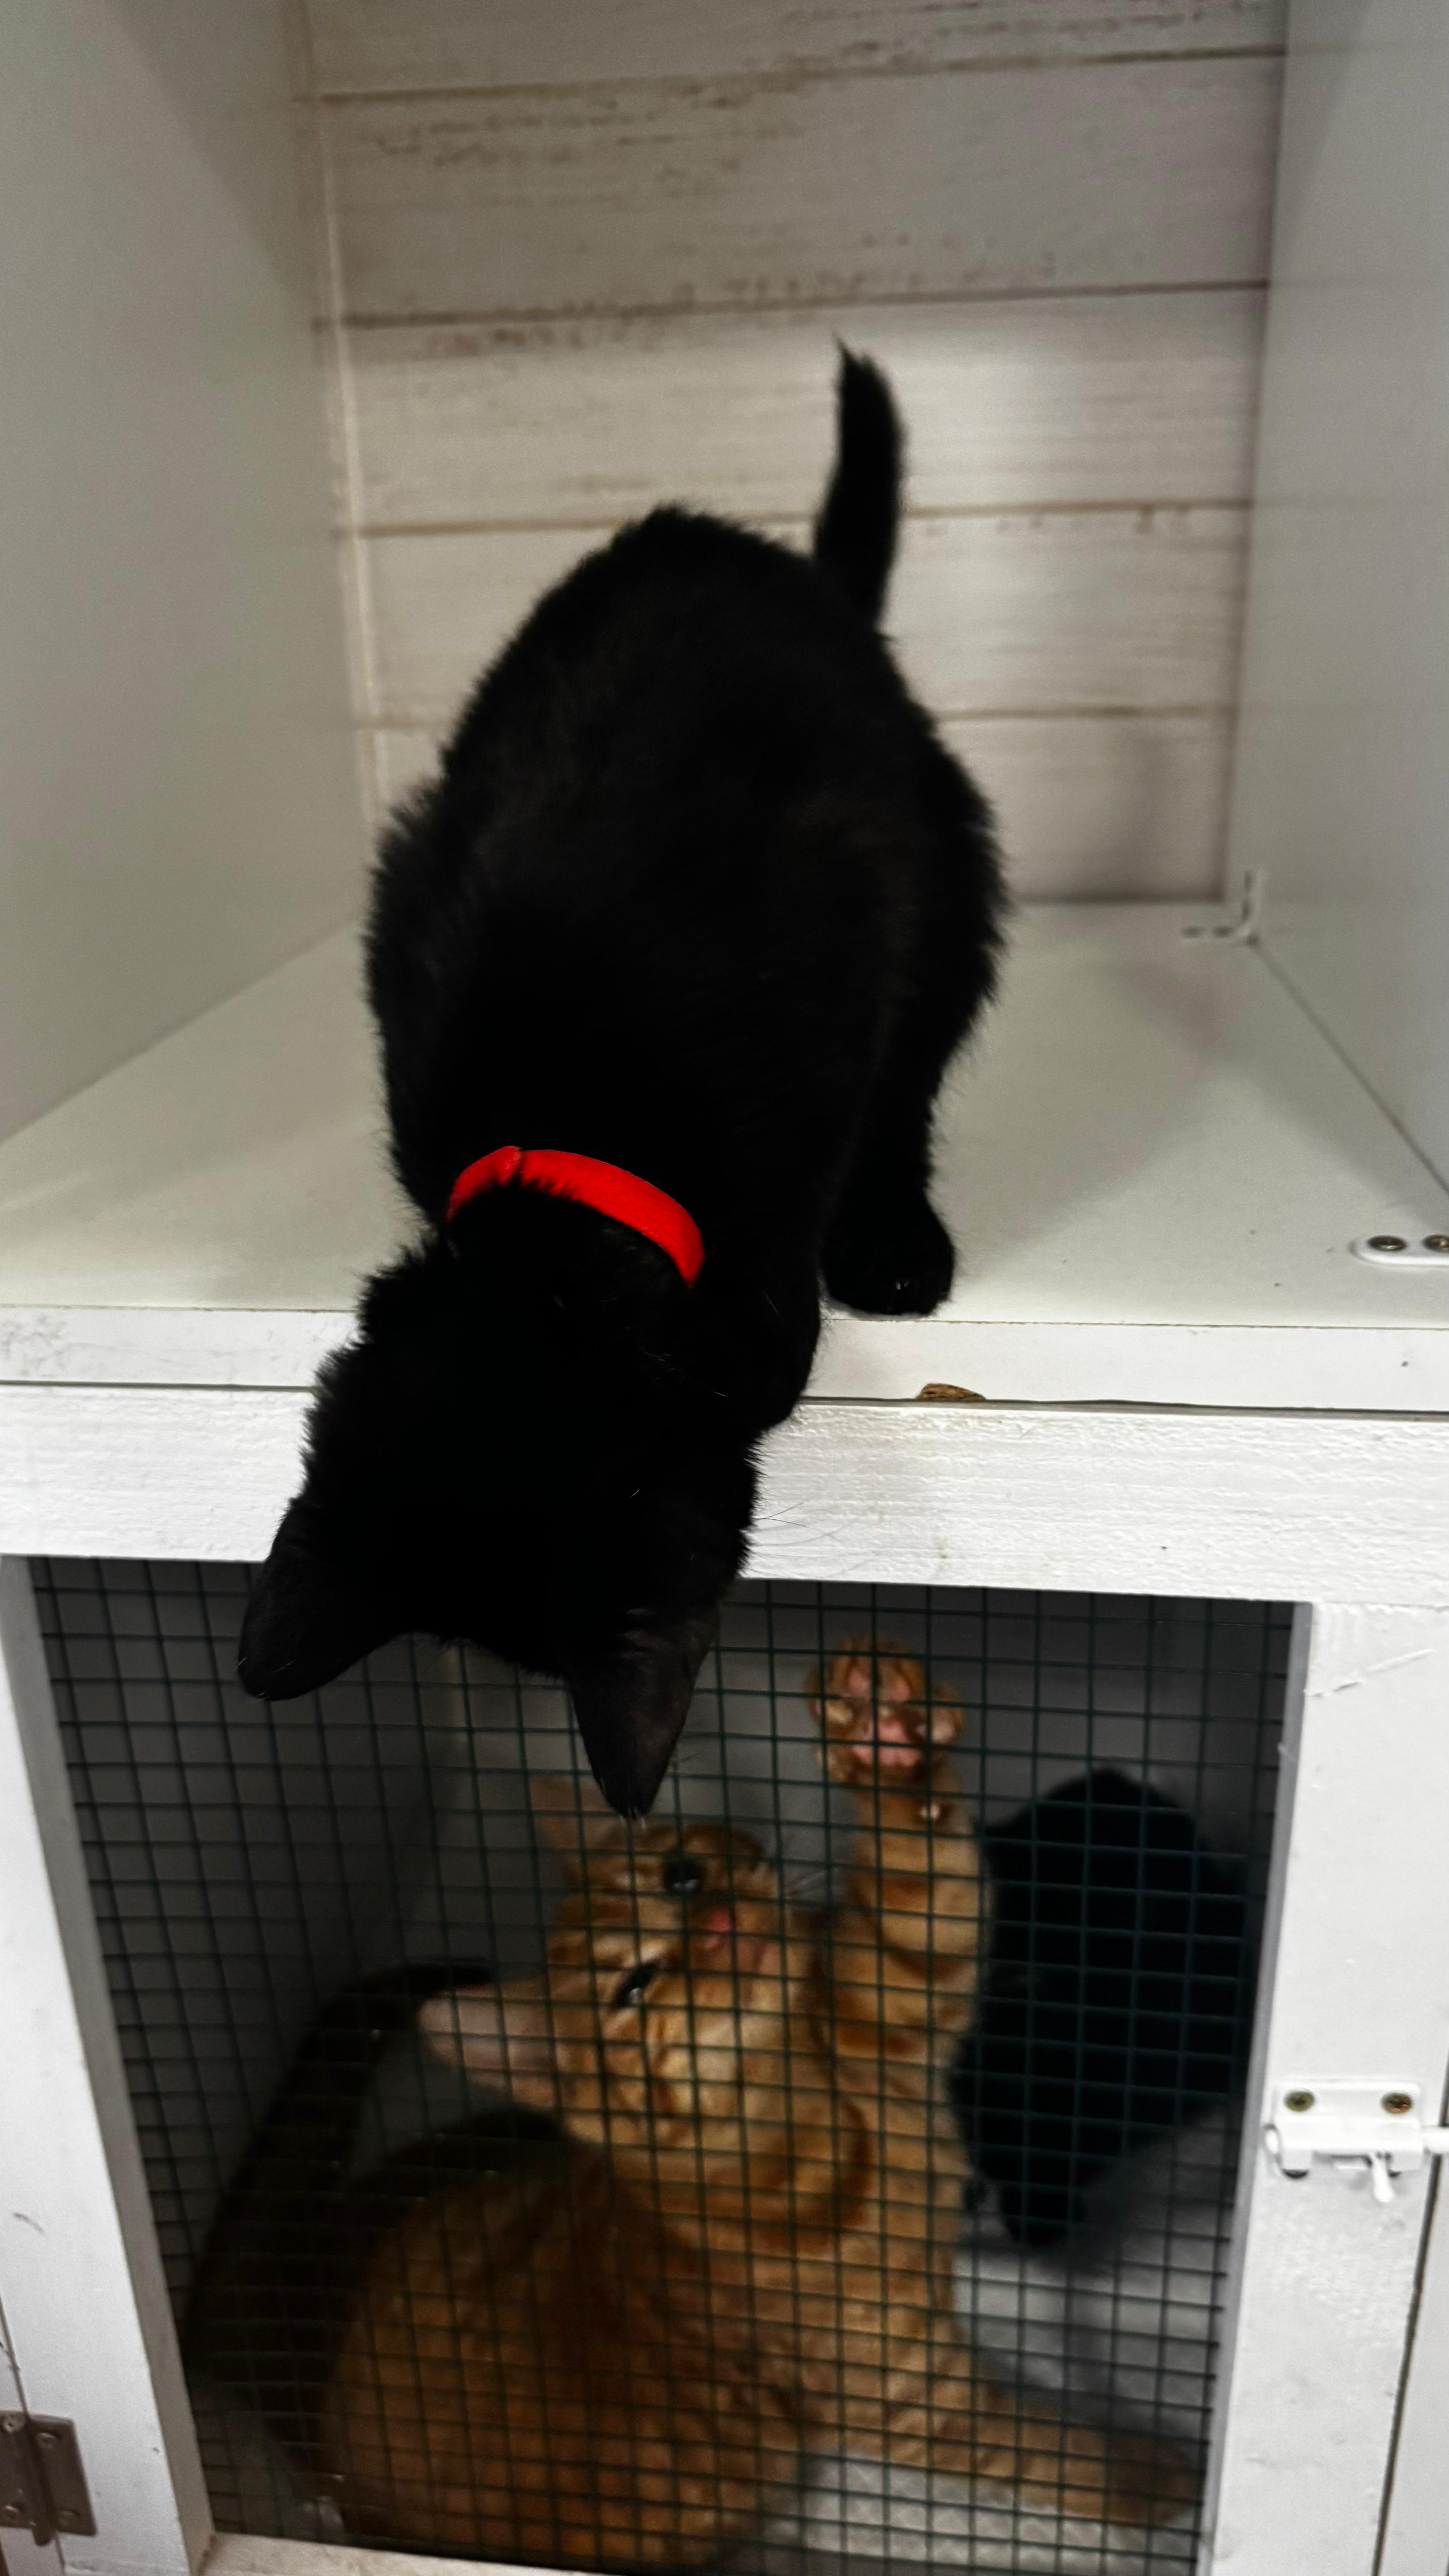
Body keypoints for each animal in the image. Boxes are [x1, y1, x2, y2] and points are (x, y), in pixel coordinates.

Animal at [286, 1649, 1192, 2566]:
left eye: (682, 1876)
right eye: (636, 1988)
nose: (720, 1923)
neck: (816, 2105)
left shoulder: (895, 1983)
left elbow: (922, 1889)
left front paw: (886, 1741)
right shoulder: (902, 2396)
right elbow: (1040, 2450)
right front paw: (1155, 2479)